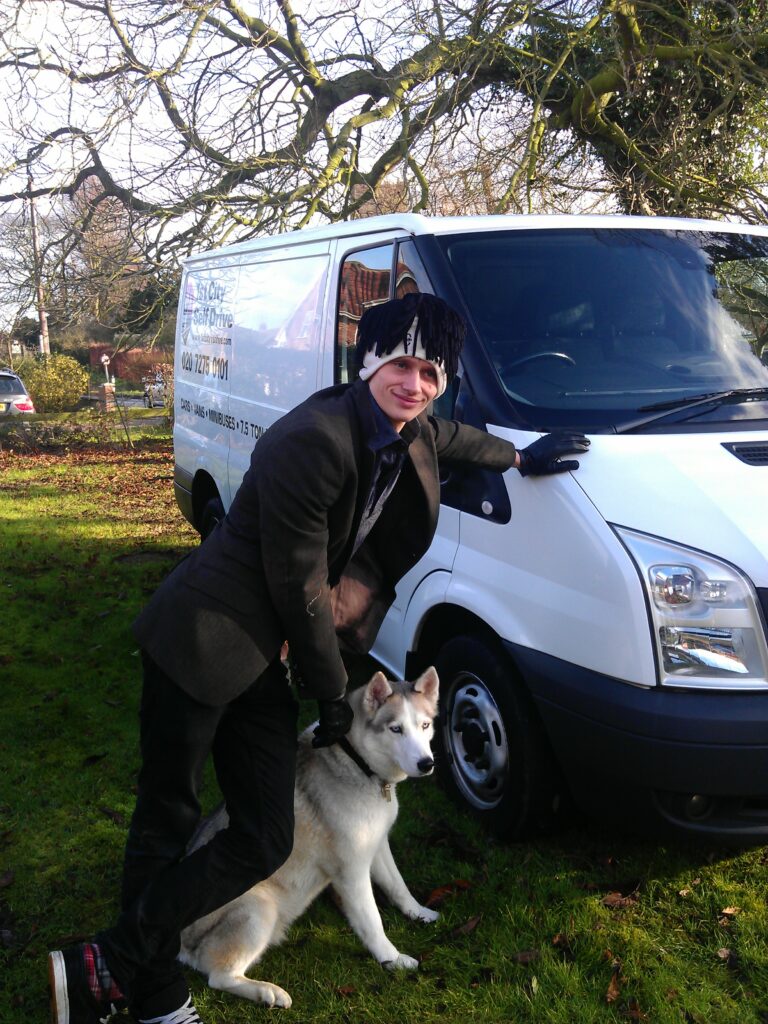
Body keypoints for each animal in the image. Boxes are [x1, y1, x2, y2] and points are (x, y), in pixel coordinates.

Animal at [179, 663, 438, 1007]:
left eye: (425, 725)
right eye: (396, 729)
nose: (427, 763)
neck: (358, 763)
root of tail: (180, 945)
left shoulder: (376, 845)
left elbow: (398, 886)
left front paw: (419, 913)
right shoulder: (351, 872)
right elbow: (372, 921)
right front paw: (392, 959)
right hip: (258, 908)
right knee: (218, 976)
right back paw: (268, 992)